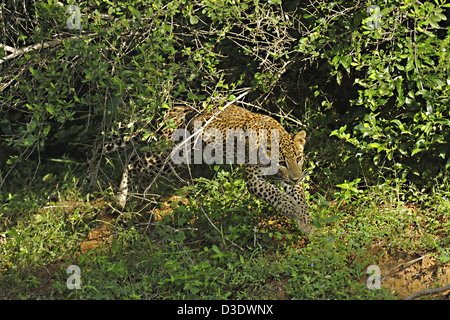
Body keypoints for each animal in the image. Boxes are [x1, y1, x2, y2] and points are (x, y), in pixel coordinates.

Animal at [88, 104, 312, 234]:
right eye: (281, 162)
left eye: (298, 158)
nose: (296, 178)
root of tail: (169, 110)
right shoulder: (254, 180)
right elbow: (277, 196)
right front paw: (293, 211)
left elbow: (299, 197)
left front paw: (305, 221)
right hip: (169, 157)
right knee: (132, 160)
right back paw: (122, 197)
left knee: (134, 159)